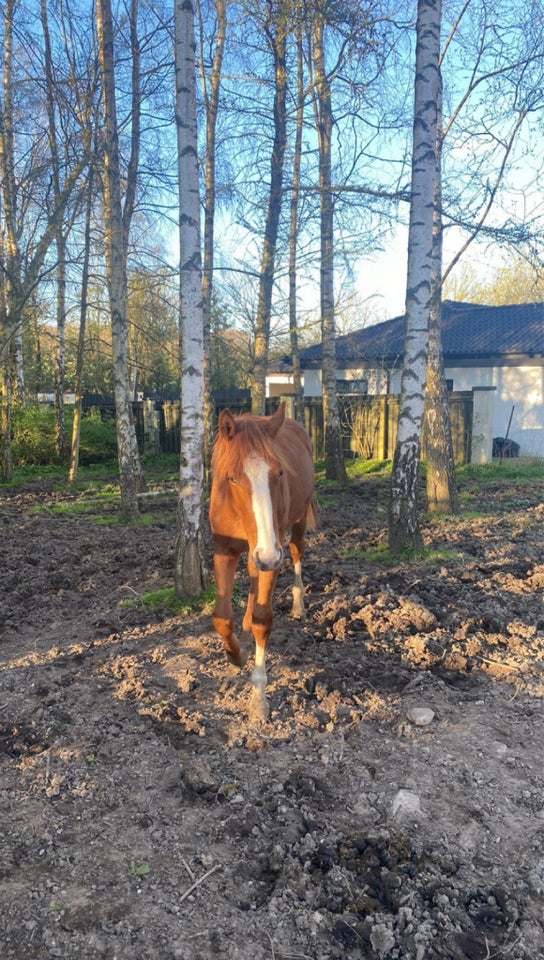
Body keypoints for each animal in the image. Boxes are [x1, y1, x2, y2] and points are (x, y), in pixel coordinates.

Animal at [210, 400, 316, 720]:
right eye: (232, 478)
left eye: (279, 473)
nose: (268, 555)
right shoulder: (224, 549)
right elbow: (221, 617)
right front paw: (236, 654)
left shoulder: (272, 550)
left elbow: (262, 621)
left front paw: (258, 699)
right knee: (253, 571)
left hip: (295, 525)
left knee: (296, 553)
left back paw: (298, 605)